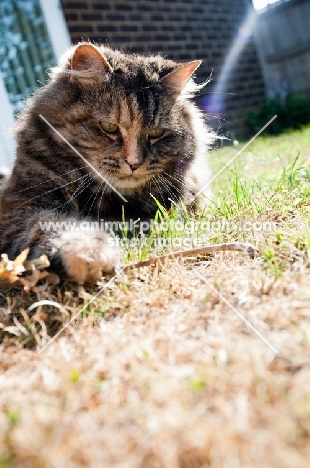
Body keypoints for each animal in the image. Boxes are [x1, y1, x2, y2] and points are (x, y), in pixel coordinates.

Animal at [0, 44, 214, 284]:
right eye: (109, 127)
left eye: (156, 133)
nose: (134, 163)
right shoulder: (20, 208)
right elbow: (51, 225)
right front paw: (89, 252)